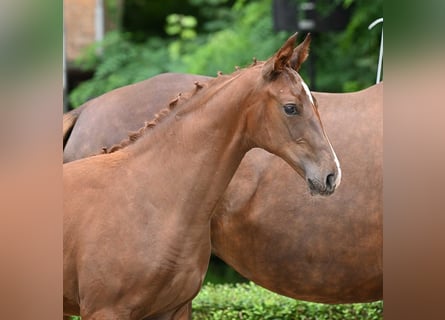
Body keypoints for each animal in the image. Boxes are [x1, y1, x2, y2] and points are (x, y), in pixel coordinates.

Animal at [62, 33, 340, 320]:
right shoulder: (105, 310)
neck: (152, 196)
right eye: (290, 108)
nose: (331, 174)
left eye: (315, 104)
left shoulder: (174, 309)